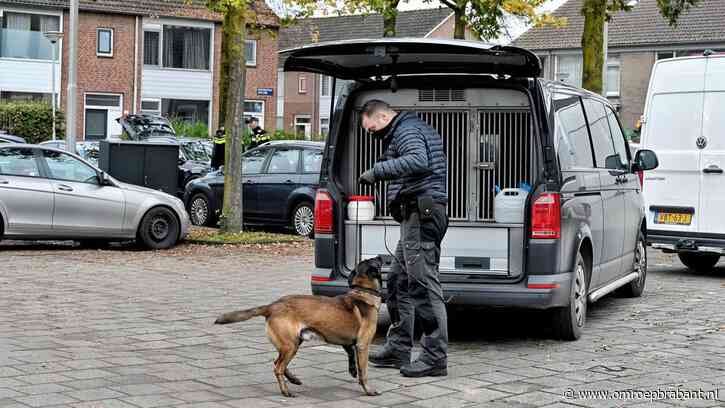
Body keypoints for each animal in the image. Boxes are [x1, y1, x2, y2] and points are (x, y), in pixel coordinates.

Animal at [215, 256, 384, 396]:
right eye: (375, 260)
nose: (381, 256)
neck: (362, 291)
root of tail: (272, 306)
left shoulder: (348, 342)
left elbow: (351, 356)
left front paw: (353, 371)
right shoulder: (362, 346)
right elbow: (364, 372)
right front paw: (368, 390)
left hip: (293, 343)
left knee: (277, 363)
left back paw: (293, 379)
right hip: (290, 345)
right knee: (278, 368)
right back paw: (286, 391)